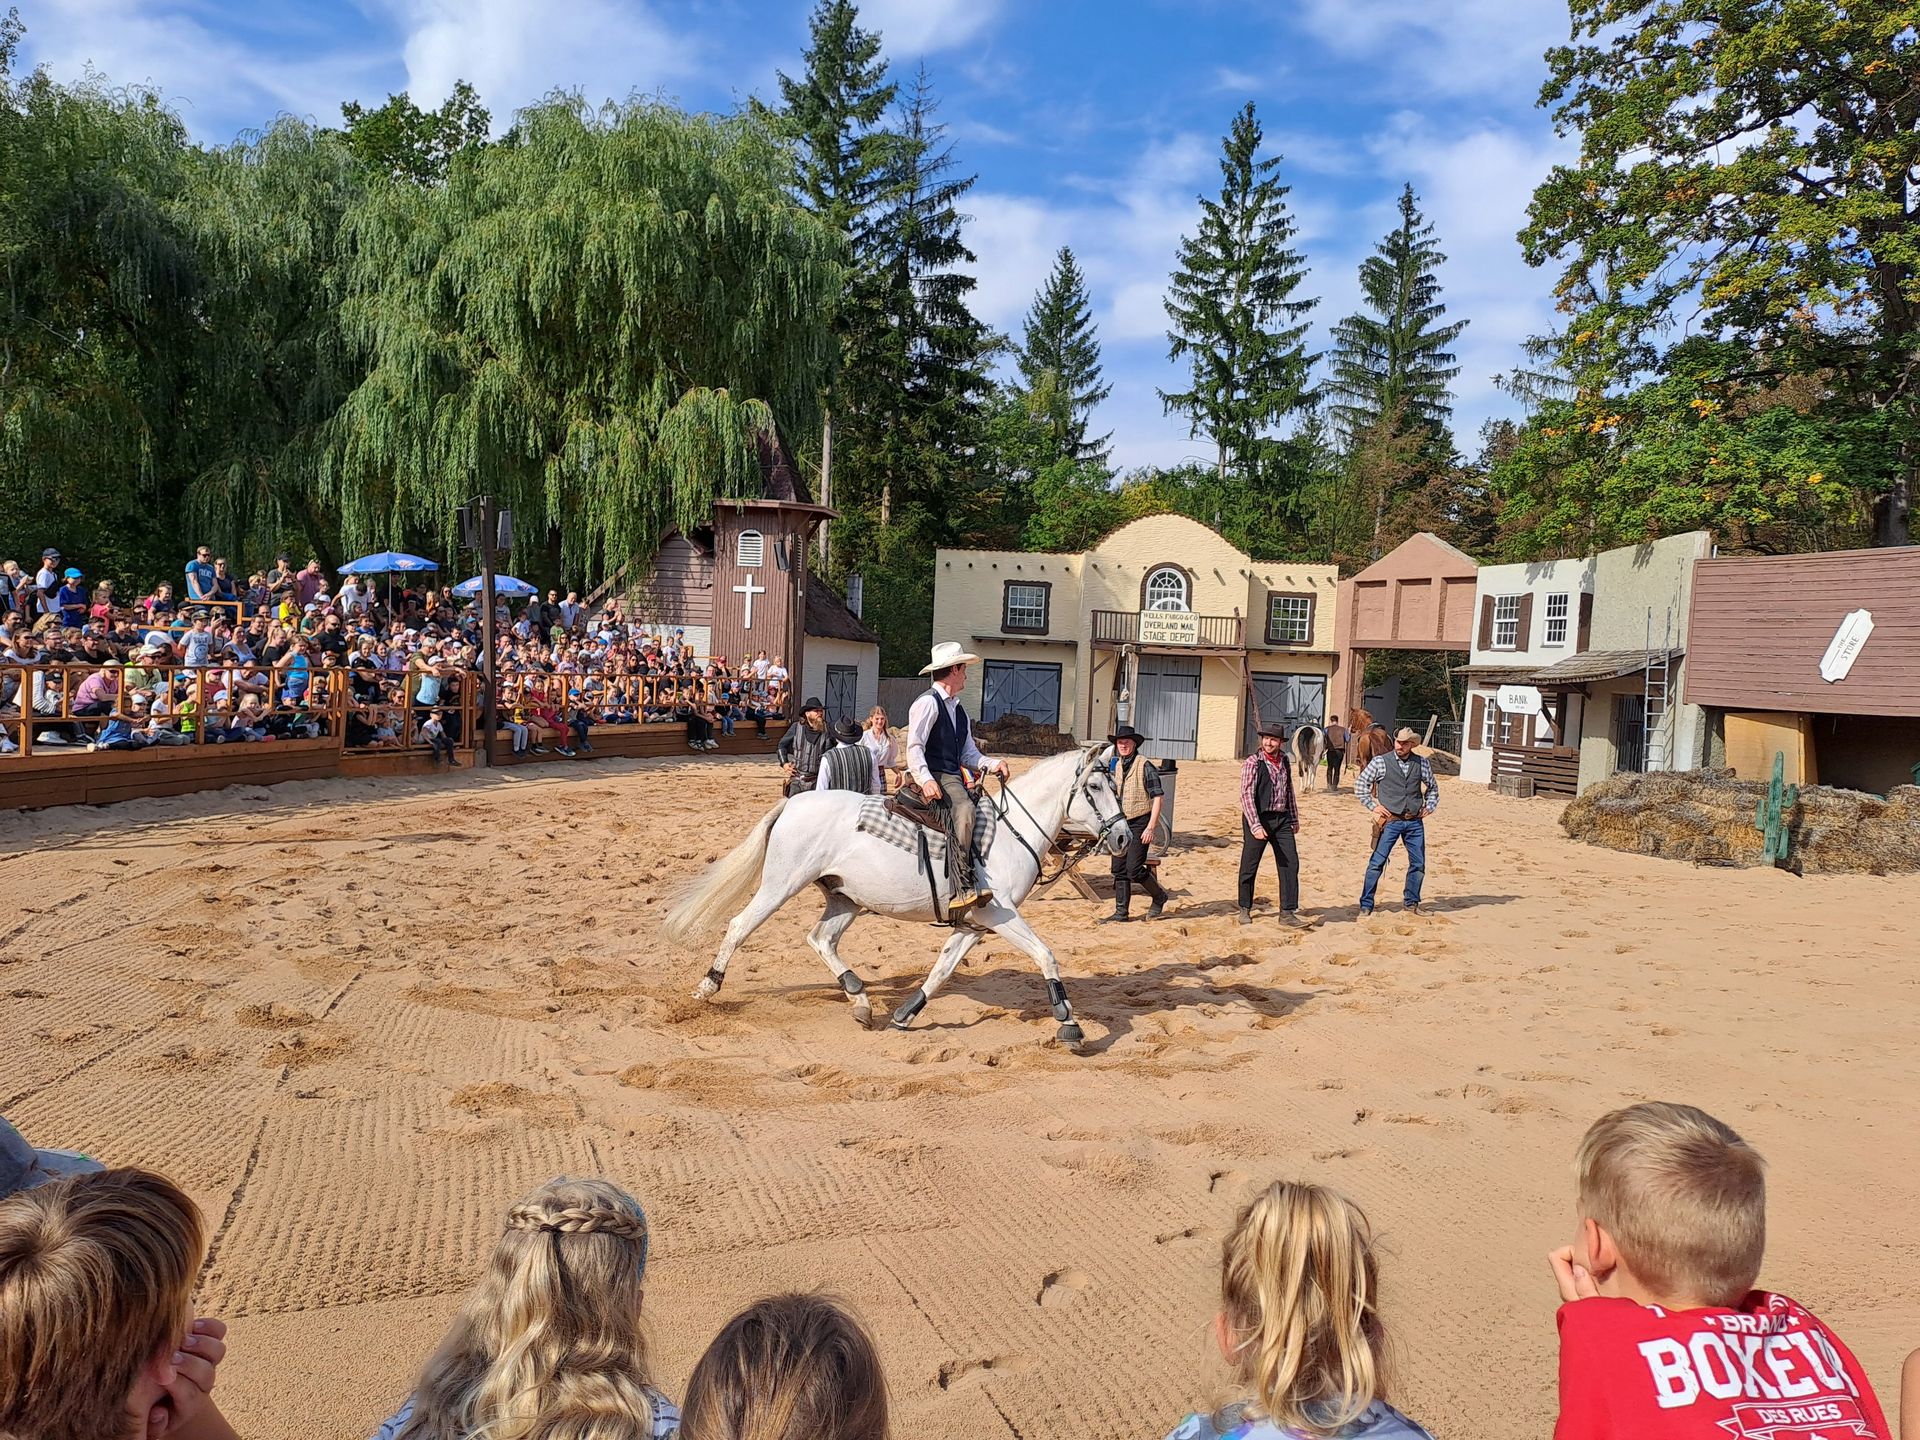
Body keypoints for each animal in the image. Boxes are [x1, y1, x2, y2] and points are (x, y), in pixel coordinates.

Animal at [660, 747, 1134, 1047]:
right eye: (1095, 788)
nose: (1124, 837)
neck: (1009, 831)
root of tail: (793, 805)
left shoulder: (974, 925)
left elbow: (941, 970)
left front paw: (907, 1013)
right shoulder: (1000, 916)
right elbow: (1045, 955)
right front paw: (1069, 1023)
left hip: (845, 898)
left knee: (820, 938)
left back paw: (859, 998)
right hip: (781, 884)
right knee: (741, 926)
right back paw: (707, 987)